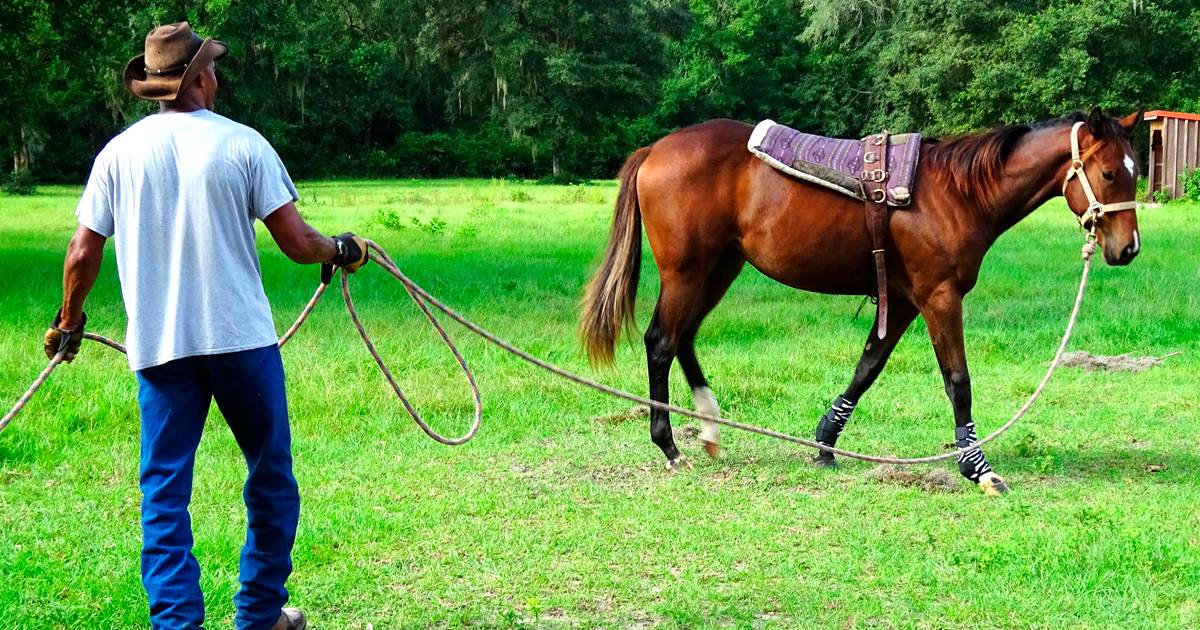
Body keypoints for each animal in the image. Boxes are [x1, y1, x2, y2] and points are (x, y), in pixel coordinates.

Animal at [580, 106, 1142, 492]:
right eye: (1111, 173)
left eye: (1136, 171)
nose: (1128, 249)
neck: (956, 193)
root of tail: (655, 150)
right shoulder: (939, 296)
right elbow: (958, 381)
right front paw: (977, 468)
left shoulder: (905, 301)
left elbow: (866, 368)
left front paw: (825, 441)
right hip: (687, 271)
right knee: (661, 341)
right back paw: (669, 444)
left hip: (719, 268)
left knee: (685, 338)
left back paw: (709, 426)